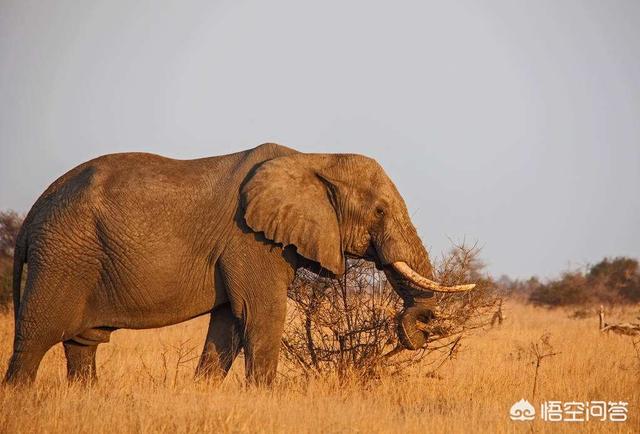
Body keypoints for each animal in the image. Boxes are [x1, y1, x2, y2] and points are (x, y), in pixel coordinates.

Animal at [3, 144, 476, 384]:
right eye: (379, 211)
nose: (418, 330)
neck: (312, 157)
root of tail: (33, 212)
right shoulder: (249, 239)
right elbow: (262, 315)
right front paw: (267, 397)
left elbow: (229, 322)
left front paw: (202, 393)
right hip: (64, 254)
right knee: (36, 336)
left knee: (82, 343)